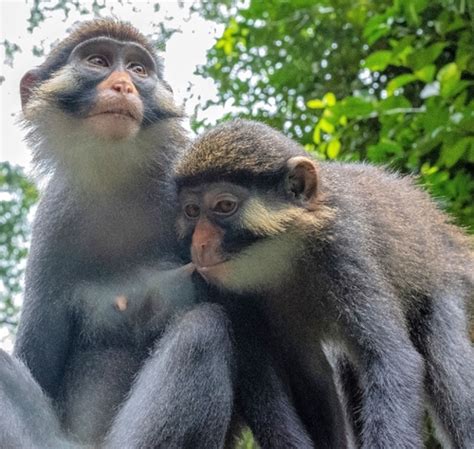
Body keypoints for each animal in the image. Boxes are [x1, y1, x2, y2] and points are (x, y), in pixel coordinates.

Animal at [0, 18, 344, 448]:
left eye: (138, 69)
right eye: (98, 61)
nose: (123, 85)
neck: (117, 182)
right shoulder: (53, 224)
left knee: (204, 330)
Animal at [177, 118, 474, 448]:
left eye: (224, 205)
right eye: (192, 211)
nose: (200, 244)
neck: (286, 254)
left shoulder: (343, 247)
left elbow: (392, 359)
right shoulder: (234, 294)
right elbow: (297, 377)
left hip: (446, 278)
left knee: (447, 366)